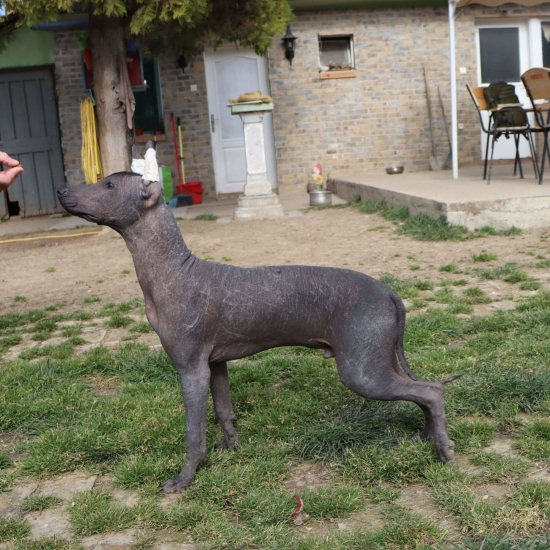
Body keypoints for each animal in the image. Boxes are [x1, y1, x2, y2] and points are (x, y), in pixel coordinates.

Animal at [58, 174, 460, 496]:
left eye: (109, 185)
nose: (62, 189)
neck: (173, 269)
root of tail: (389, 292)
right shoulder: (214, 364)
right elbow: (223, 410)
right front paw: (231, 446)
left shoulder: (191, 370)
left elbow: (194, 433)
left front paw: (184, 480)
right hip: (378, 362)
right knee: (424, 393)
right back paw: (427, 438)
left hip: (361, 372)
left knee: (432, 392)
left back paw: (444, 452)